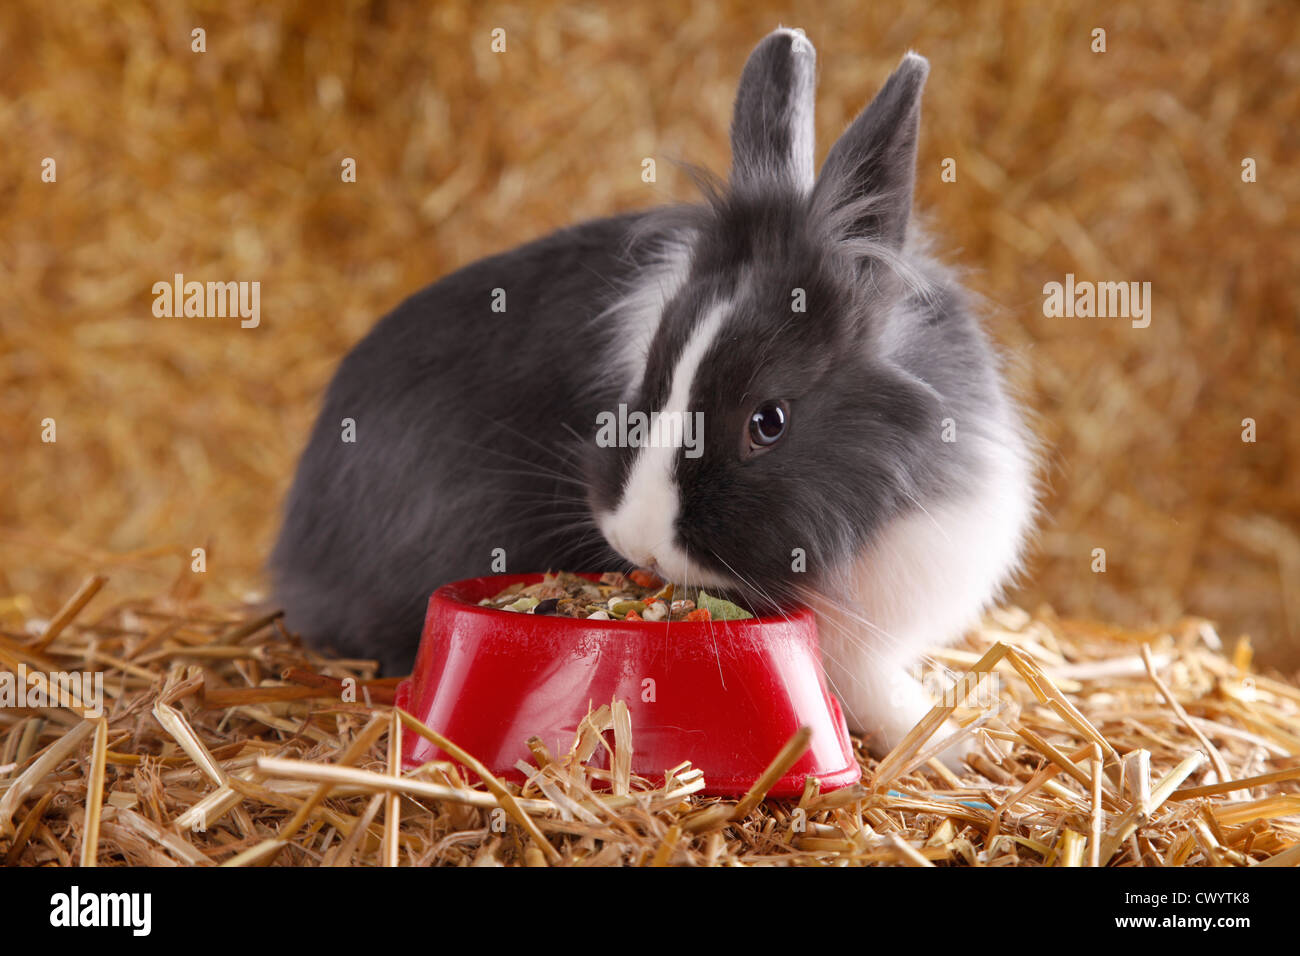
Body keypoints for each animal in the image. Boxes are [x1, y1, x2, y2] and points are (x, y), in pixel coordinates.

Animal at [269, 26, 1040, 764]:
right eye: (652, 376)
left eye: (769, 420)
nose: (637, 544)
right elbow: (873, 688)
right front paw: (951, 742)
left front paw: (962, 740)